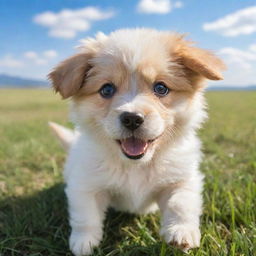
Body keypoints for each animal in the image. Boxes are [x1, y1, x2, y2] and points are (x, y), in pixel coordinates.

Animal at [48, 28, 224, 256]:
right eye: (106, 90)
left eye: (161, 88)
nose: (132, 118)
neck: (136, 166)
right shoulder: (86, 185)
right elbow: (85, 216)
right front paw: (83, 243)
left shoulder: (182, 179)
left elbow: (181, 203)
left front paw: (181, 232)